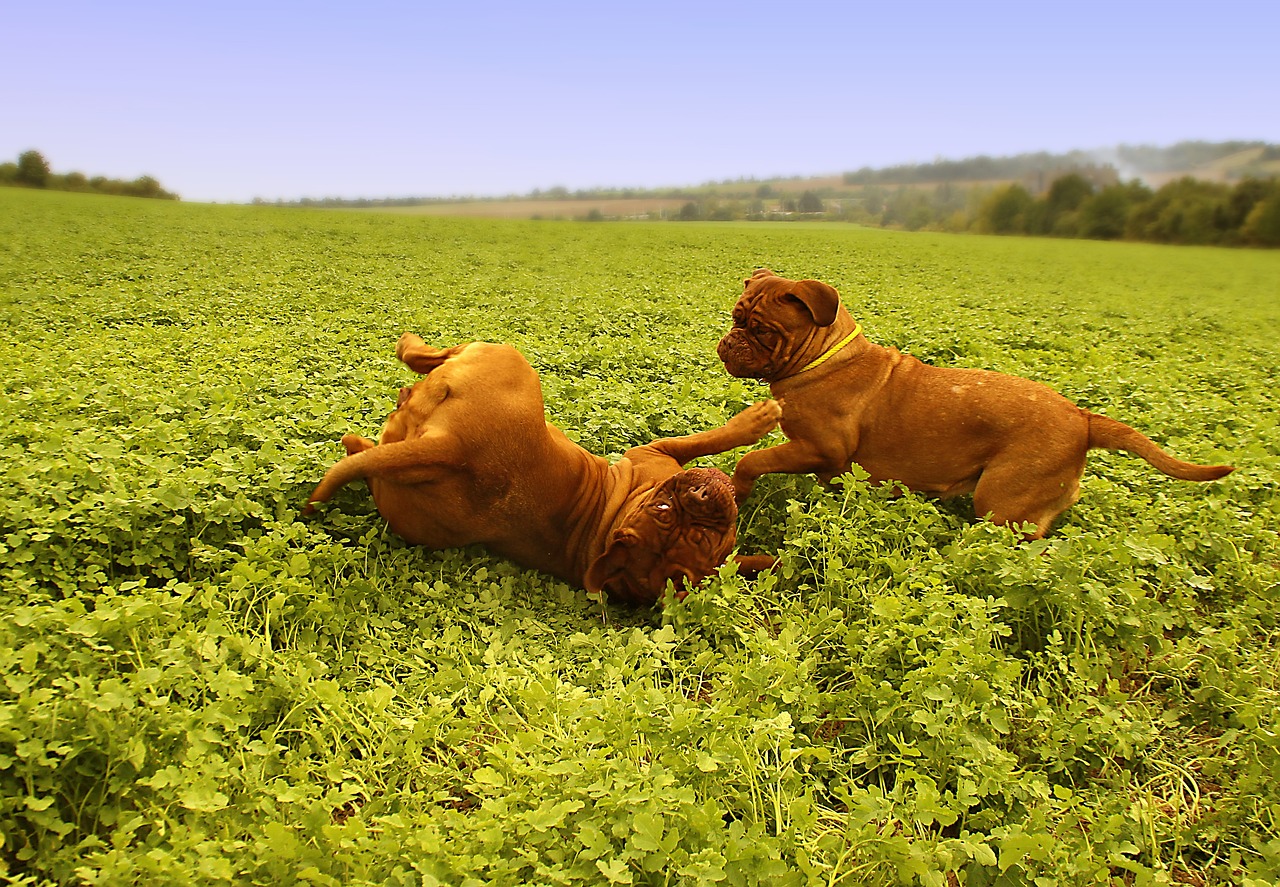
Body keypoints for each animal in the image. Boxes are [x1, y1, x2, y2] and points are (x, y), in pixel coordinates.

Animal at [307, 335, 778, 606]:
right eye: (663, 510)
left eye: (698, 540)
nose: (698, 497)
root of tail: (451, 448)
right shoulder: (656, 450)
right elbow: (712, 437)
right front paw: (759, 417)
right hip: (507, 356)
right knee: (430, 354)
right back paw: (409, 344)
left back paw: (360, 437)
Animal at [716, 266, 1233, 535]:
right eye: (736, 317)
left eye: (761, 330)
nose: (728, 343)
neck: (821, 357)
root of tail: (1083, 418)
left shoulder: (817, 448)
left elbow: (751, 460)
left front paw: (738, 490)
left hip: (1002, 503)